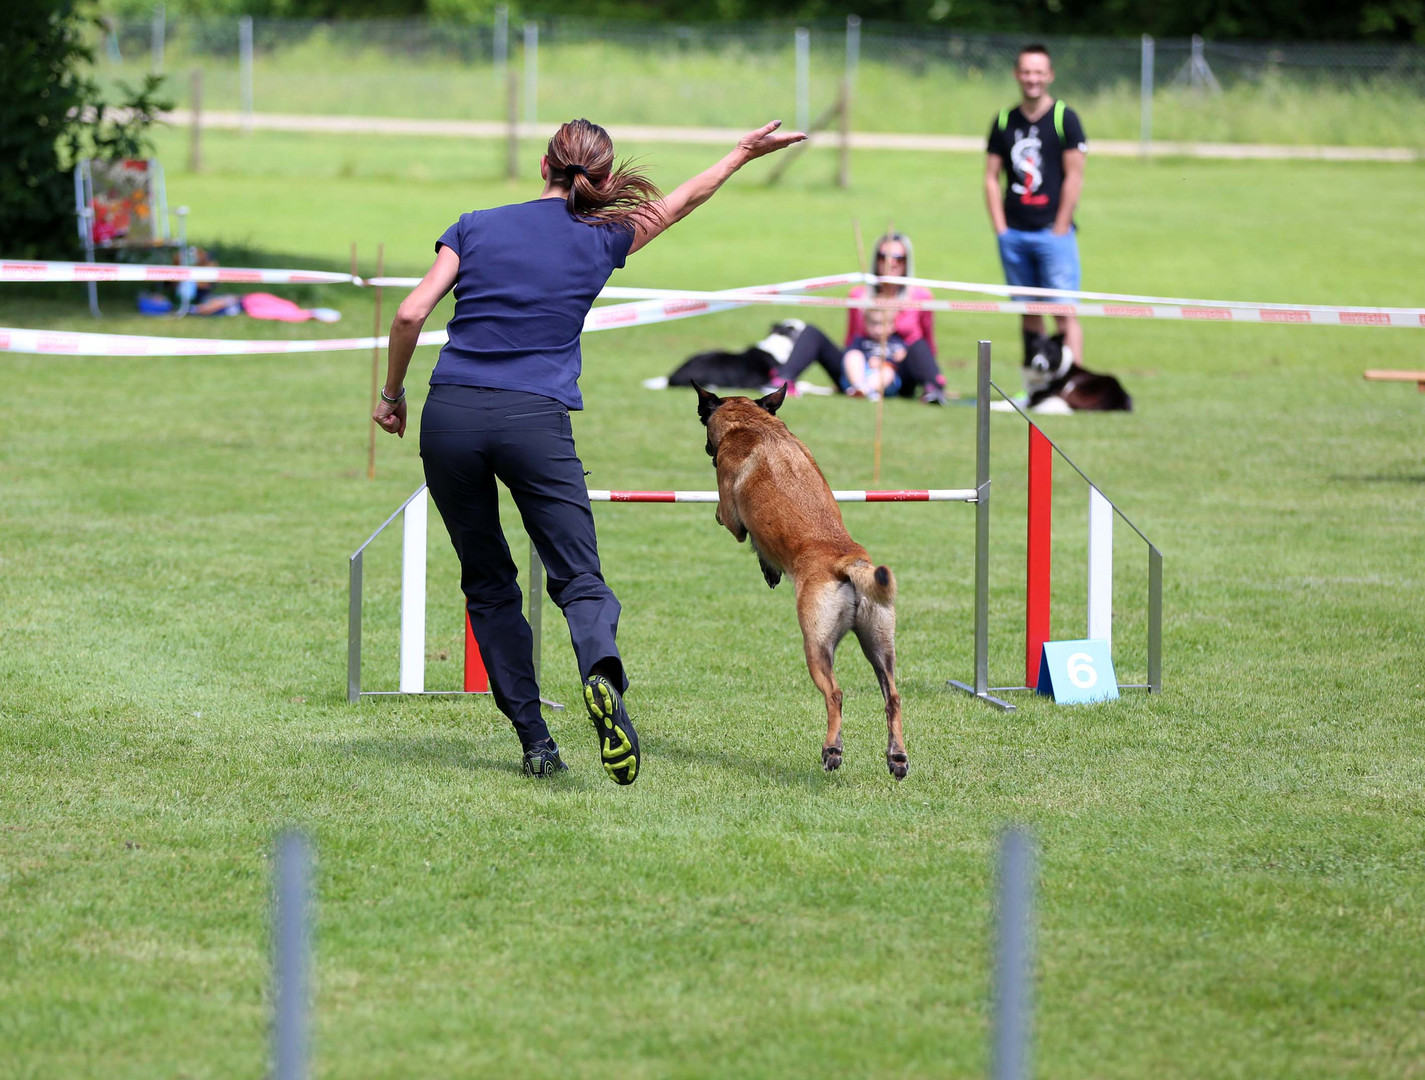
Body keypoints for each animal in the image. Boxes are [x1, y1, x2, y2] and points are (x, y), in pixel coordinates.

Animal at [695, 381, 906, 780]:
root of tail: (845, 559)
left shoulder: (732, 514)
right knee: (893, 697)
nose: (706, 451)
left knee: (835, 694)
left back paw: (832, 751)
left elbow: (728, 520)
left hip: (816, 643)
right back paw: (897, 757)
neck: (755, 424)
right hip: (880, 644)